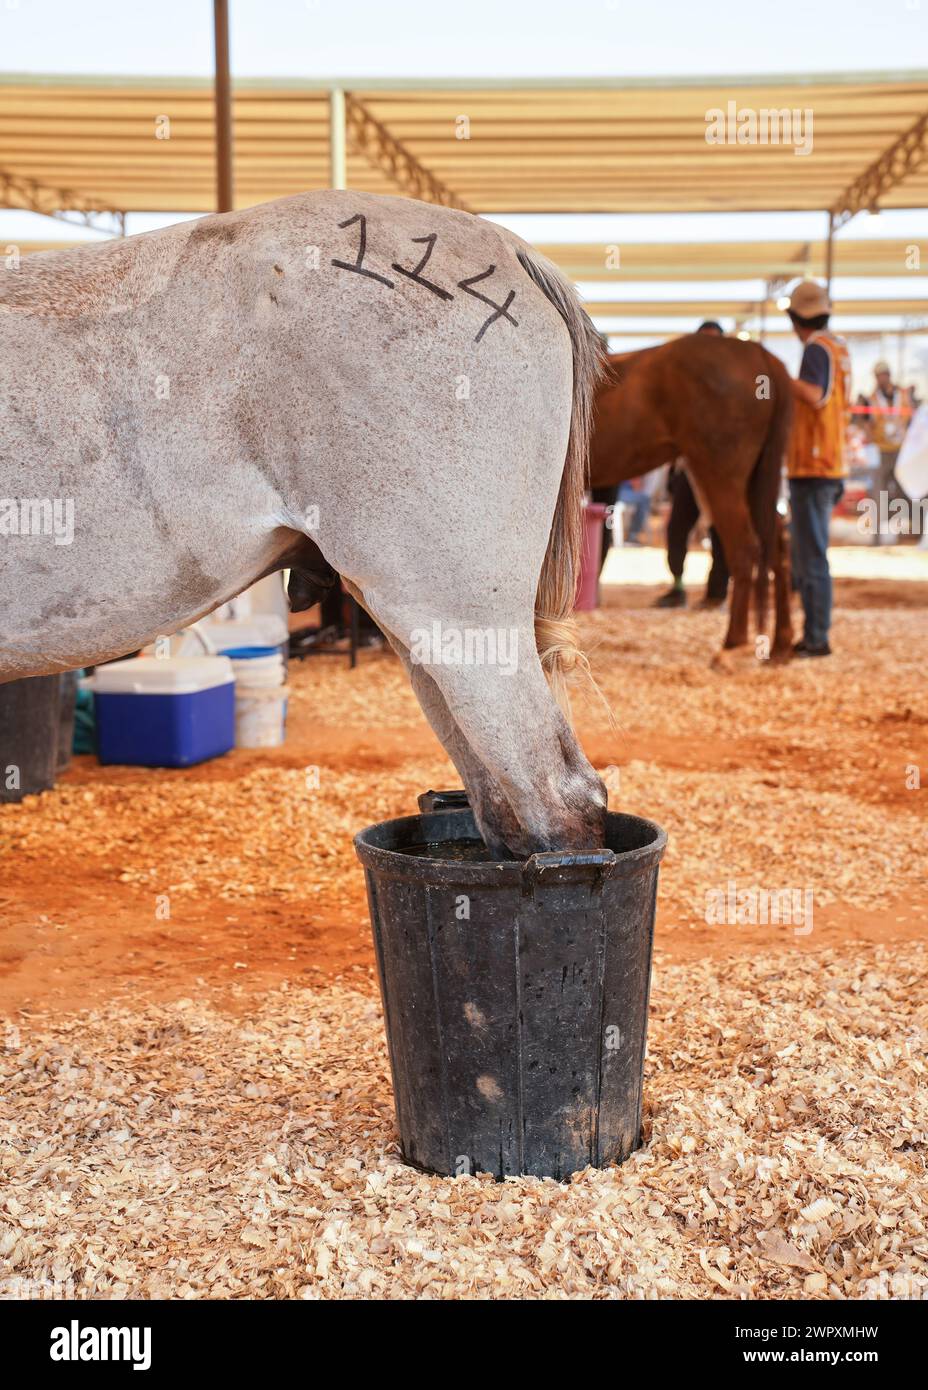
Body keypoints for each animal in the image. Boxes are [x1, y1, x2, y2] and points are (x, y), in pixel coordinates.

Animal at [590, 336, 794, 661]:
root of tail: (760, 355)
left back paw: (733, 641)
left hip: (721, 476)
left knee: (744, 548)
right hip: (757, 481)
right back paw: (781, 644)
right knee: (776, 550)